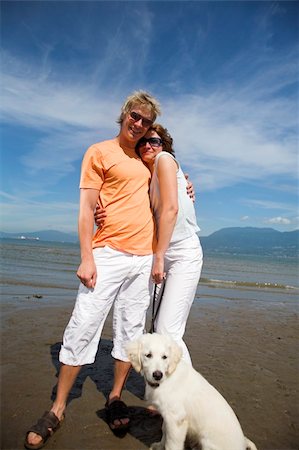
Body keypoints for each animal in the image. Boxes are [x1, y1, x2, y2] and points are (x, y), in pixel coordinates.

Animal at [126, 332, 258, 448]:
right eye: (148, 355)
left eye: (164, 357)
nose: (158, 375)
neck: (167, 379)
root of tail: (243, 444)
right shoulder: (168, 416)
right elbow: (164, 431)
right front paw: (159, 445)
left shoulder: (177, 419)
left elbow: (172, 444)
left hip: (207, 442)